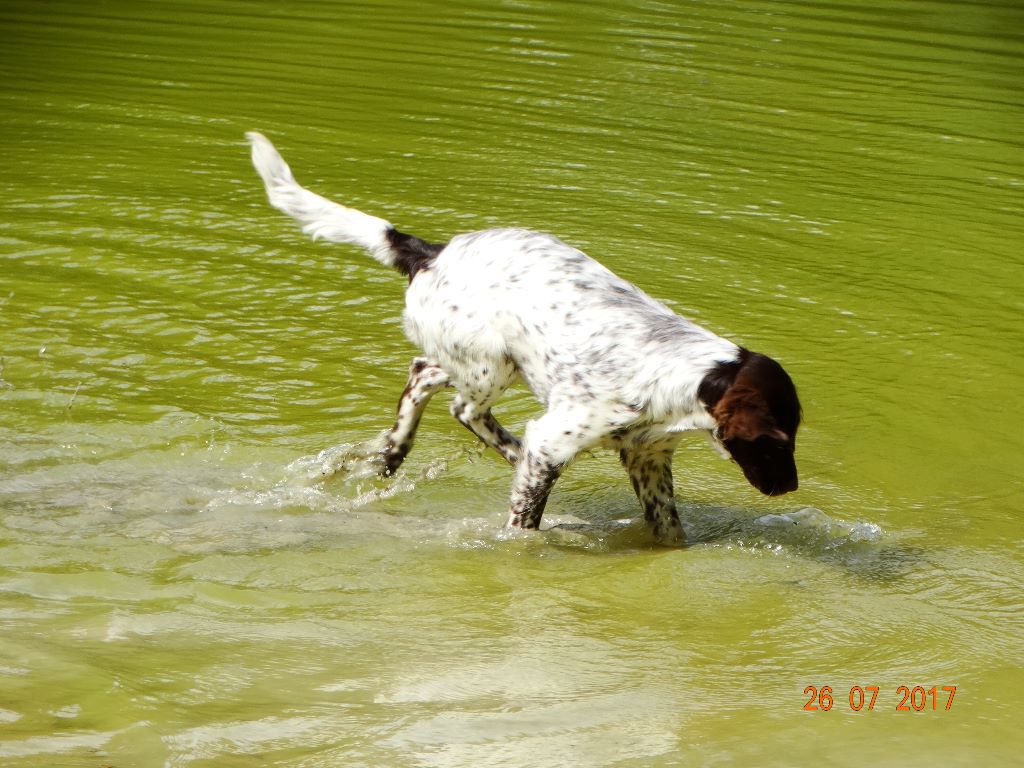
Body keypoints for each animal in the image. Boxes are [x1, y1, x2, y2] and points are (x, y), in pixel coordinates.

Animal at [245, 132, 798, 544]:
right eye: (775, 441)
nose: (790, 487)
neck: (689, 375)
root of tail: (433, 251)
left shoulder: (648, 459)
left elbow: (668, 529)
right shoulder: (554, 442)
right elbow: (523, 520)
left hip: (476, 358)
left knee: (424, 374)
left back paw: (397, 449)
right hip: (491, 364)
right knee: (461, 407)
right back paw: (493, 448)